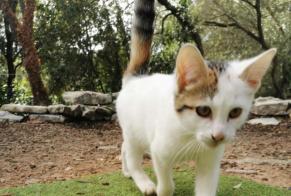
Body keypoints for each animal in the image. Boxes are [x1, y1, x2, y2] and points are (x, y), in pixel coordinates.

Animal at [116, 0, 276, 196]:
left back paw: (126, 171)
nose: (218, 136)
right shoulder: (159, 151)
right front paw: (164, 188)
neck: (191, 135)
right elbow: (166, 183)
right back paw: (141, 180)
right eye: (203, 110)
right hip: (133, 131)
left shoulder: (210, 160)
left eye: (235, 112)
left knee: (124, 147)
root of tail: (136, 78)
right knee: (131, 152)